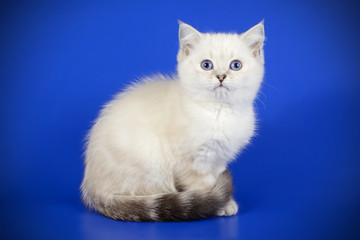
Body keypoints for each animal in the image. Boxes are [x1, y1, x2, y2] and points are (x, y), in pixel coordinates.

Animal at [81, 20, 264, 221]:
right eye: (207, 65)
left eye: (236, 65)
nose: (221, 76)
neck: (219, 111)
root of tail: (91, 187)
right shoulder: (191, 164)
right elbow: (206, 187)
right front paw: (218, 205)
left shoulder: (219, 159)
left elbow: (216, 179)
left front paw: (227, 203)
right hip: (151, 163)